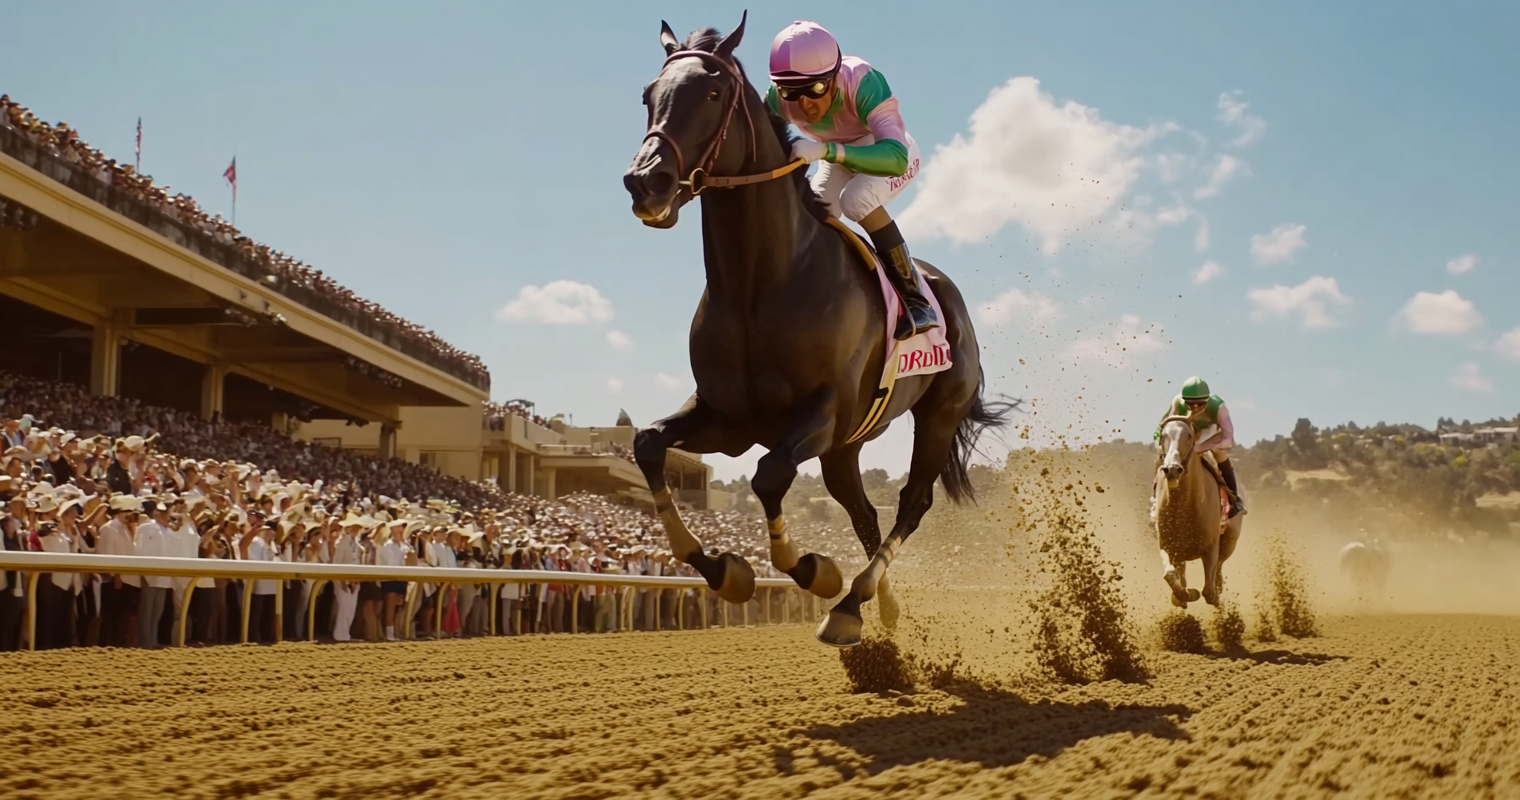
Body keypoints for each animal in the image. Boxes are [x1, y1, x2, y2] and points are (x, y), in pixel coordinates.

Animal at [617, 15, 1009, 647]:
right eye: (649, 94)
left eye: (713, 92)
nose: (645, 183)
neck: (760, 284)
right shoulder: (727, 417)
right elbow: (649, 443)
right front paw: (724, 570)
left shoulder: (822, 412)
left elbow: (770, 475)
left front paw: (813, 570)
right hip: (845, 449)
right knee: (864, 512)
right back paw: (881, 606)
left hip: (936, 415)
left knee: (911, 502)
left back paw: (850, 603)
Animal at [1155, 416, 1240, 611]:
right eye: (1163, 436)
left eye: (1189, 436)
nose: (1172, 469)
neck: (1184, 509)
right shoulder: (1168, 546)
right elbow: (1170, 575)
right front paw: (1184, 595)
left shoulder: (1211, 548)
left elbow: (1208, 592)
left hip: (1230, 540)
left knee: (1219, 567)